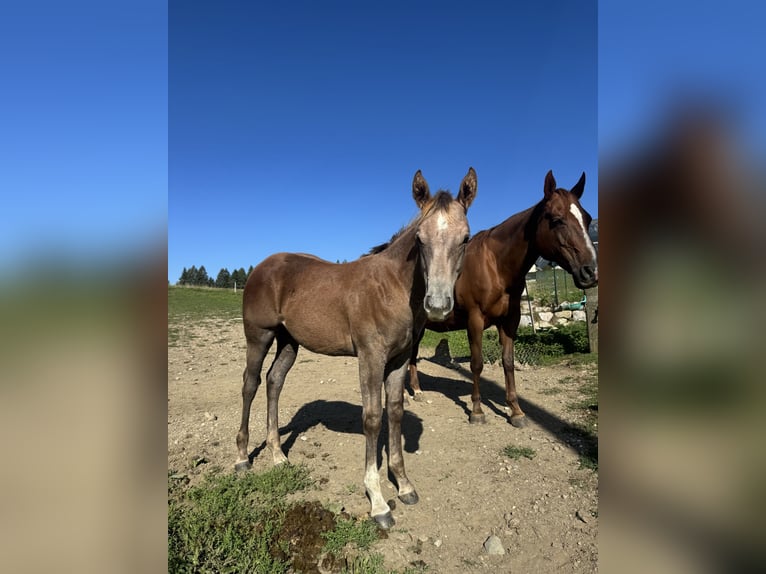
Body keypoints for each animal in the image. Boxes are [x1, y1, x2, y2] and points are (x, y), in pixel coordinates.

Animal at [235, 168, 477, 529]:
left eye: (465, 238)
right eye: (419, 239)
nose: (437, 304)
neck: (392, 287)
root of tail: (263, 266)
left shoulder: (399, 359)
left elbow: (395, 412)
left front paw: (404, 485)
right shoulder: (371, 357)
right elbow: (373, 418)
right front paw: (378, 502)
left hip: (288, 341)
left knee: (274, 381)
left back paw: (278, 454)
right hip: (259, 335)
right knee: (250, 384)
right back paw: (241, 457)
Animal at [407, 170, 597, 427]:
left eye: (587, 219)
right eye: (557, 219)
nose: (590, 272)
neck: (495, 265)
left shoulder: (509, 321)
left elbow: (508, 362)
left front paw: (516, 411)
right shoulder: (475, 320)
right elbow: (477, 364)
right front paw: (477, 411)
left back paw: (416, 391)